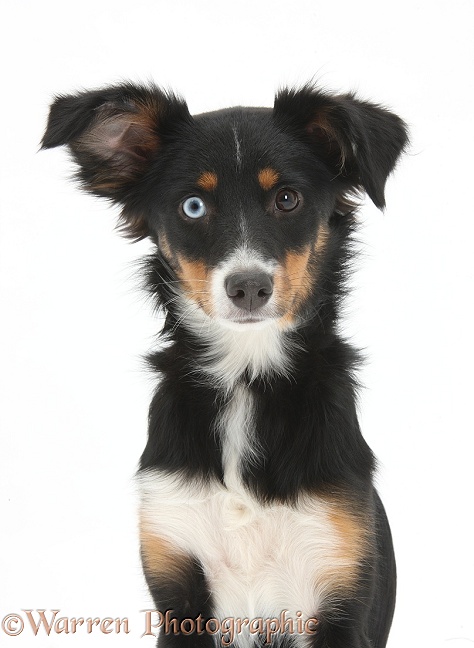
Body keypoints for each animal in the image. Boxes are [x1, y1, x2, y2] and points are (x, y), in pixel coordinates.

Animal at [41, 82, 408, 648]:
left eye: (287, 198)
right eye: (193, 206)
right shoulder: (178, 588)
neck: (245, 376)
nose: (249, 287)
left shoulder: (338, 592)